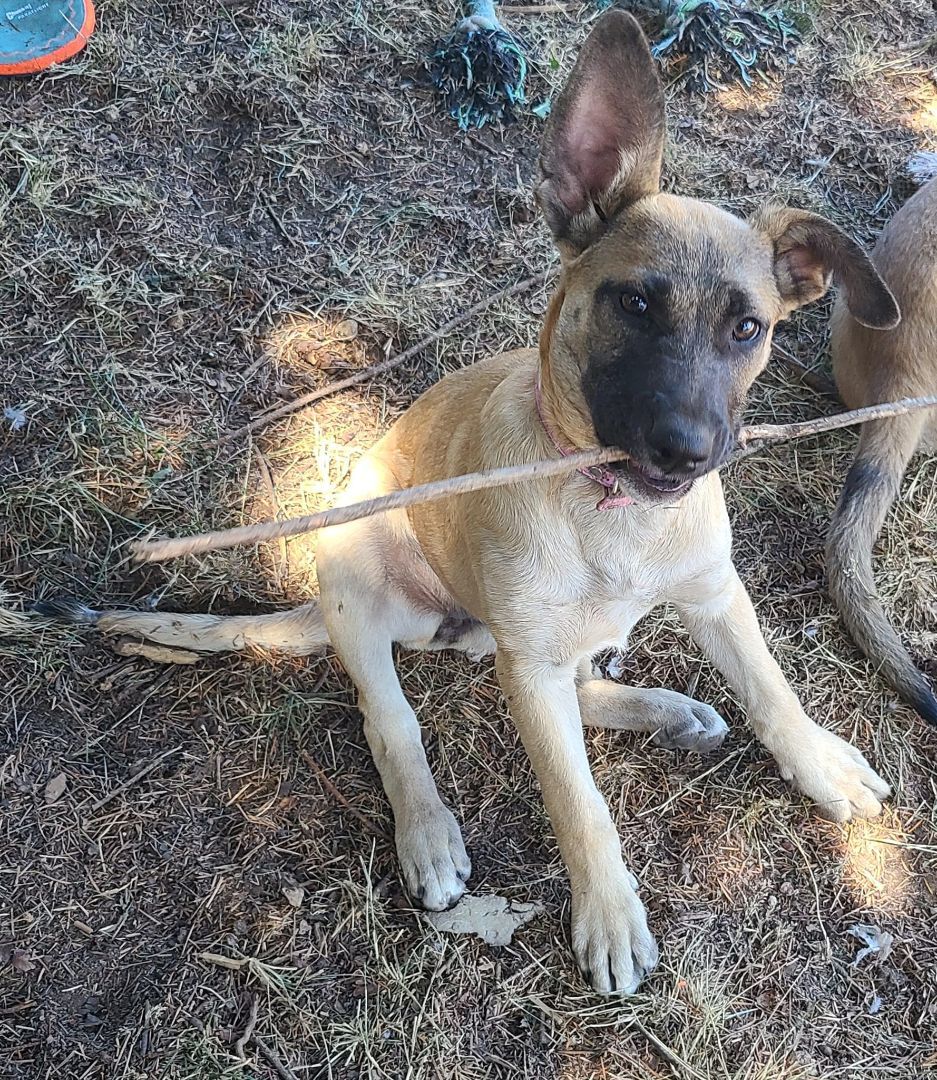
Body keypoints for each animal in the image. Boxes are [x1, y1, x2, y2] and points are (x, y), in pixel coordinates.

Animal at [45, 14, 902, 993]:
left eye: (748, 328)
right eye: (633, 303)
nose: (686, 452)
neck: (611, 511)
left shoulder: (715, 593)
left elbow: (770, 689)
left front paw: (818, 763)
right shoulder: (533, 663)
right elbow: (574, 798)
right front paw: (607, 914)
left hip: (513, 643)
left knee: (564, 688)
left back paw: (661, 709)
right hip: (359, 577)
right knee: (395, 719)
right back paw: (427, 831)